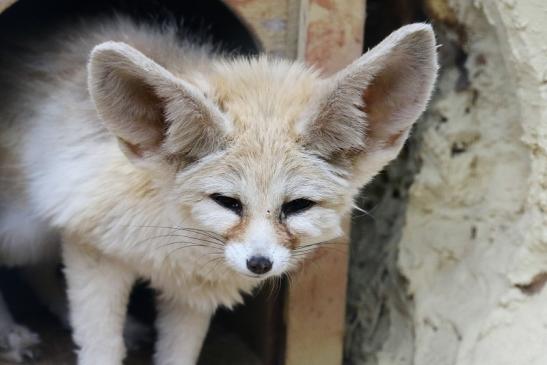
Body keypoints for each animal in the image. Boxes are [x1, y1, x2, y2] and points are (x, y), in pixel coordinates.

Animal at [0, 16, 436, 364]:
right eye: (227, 202)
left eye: (297, 206)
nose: (259, 263)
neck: (172, 238)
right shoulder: (92, 246)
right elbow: (100, 345)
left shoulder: (195, 293)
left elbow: (178, 355)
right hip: (26, 231)